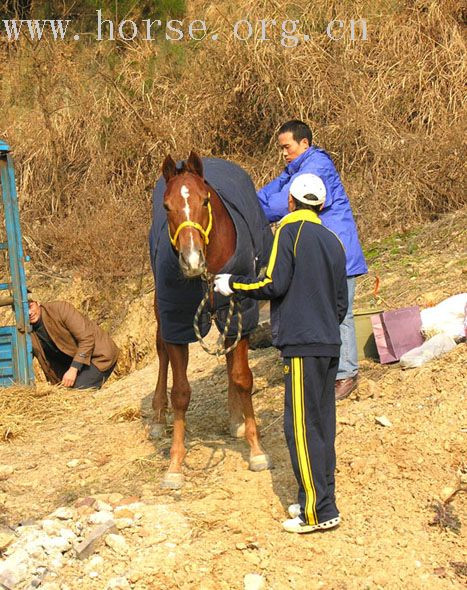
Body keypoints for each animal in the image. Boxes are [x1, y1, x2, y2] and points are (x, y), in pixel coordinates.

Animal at [152, 153, 272, 490]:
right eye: (166, 206)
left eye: (204, 200)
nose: (192, 261)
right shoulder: (177, 323)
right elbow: (180, 392)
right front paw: (175, 465)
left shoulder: (242, 312)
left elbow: (243, 377)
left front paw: (256, 449)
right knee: (161, 354)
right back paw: (157, 418)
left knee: (231, 364)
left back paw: (235, 420)